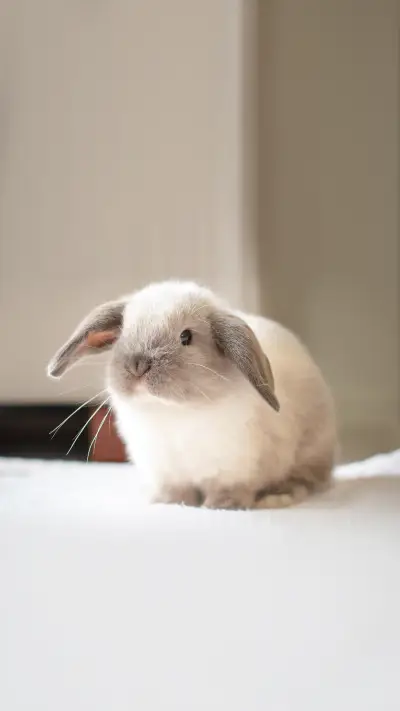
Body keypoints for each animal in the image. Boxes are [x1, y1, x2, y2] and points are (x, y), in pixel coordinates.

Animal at [47, 280, 337, 509]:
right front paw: (171, 503)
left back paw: (277, 497)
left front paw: (222, 505)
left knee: (309, 479)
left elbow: (231, 488)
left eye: (186, 337)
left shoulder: (234, 469)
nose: (137, 364)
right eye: (123, 334)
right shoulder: (167, 472)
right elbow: (176, 490)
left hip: (311, 451)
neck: (174, 411)